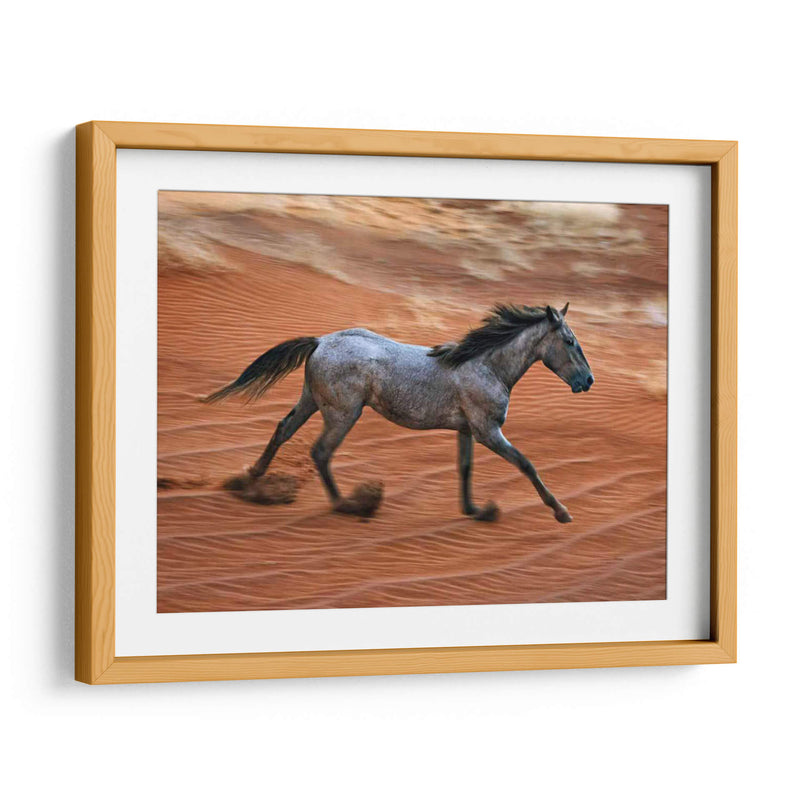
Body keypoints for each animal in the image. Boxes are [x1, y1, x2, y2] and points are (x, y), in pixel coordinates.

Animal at [203, 303, 594, 523]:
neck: (487, 366)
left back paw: (250, 479)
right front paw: (561, 512)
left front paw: (475, 511)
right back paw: (347, 505)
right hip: (343, 414)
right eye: (569, 342)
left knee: (283, 429)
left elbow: (465, 468)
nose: (588, 381)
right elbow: (526, 464)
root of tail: (321, 341)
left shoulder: (467, 430)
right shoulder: (487, 431)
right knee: (321, 451)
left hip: (312, 400)